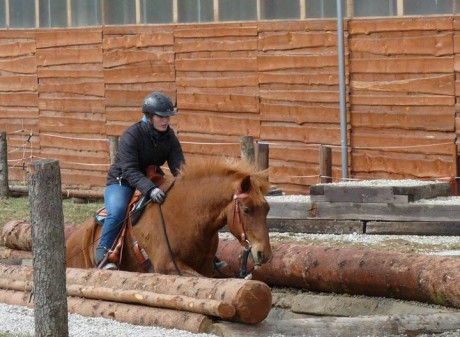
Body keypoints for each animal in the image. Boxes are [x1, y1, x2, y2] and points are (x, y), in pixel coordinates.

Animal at [65, 156, 274, 276]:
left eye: (267, 209)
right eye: (246, 210)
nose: (264, 254)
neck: (188, 217)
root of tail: (71, 239)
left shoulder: (205, 266)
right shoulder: (167, 266)